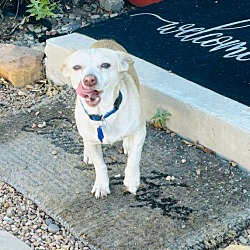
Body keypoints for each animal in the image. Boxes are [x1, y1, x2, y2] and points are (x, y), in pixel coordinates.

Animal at [61, 40, 146, 198]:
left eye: (105, 65)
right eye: (76, 67)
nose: (89, 79)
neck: (103, 114)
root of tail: (105, 40)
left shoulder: (140, 132)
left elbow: (134, 158)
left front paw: (131, 180)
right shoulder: (92, 142)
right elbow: (100, 165)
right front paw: (101, 184)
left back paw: (127, 144)